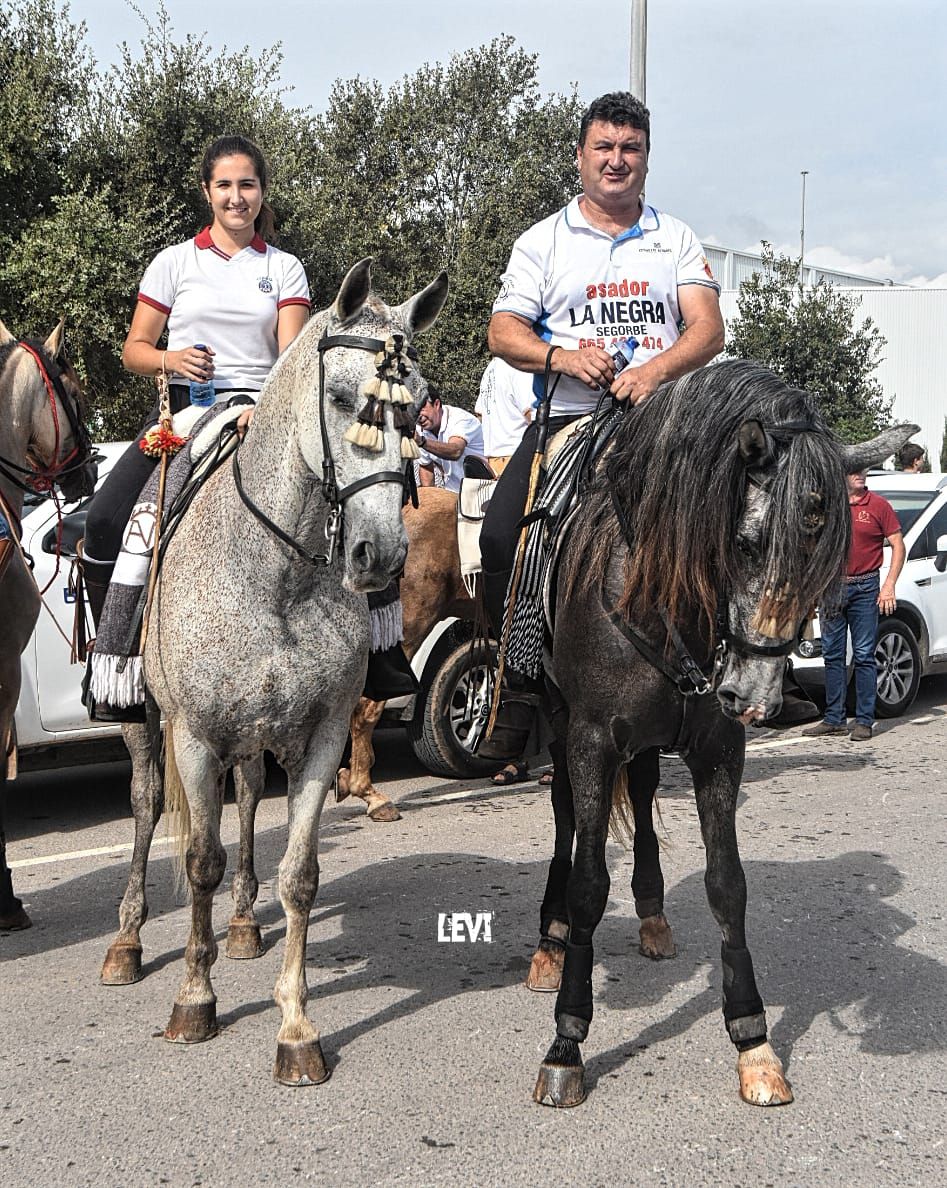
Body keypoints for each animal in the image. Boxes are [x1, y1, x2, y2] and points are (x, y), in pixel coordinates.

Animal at [525, 358, 917, 1102]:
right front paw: (566, 1040)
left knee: (642, 793)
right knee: (564, 820)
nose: (755, 697)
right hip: (556, 724)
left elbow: (726, 884)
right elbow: (589, 880)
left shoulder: (717, 750)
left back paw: (651, 916)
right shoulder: (590, 739)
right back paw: (549, 942)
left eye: (828, 554)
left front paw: (752, 1039)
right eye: (745, 542)